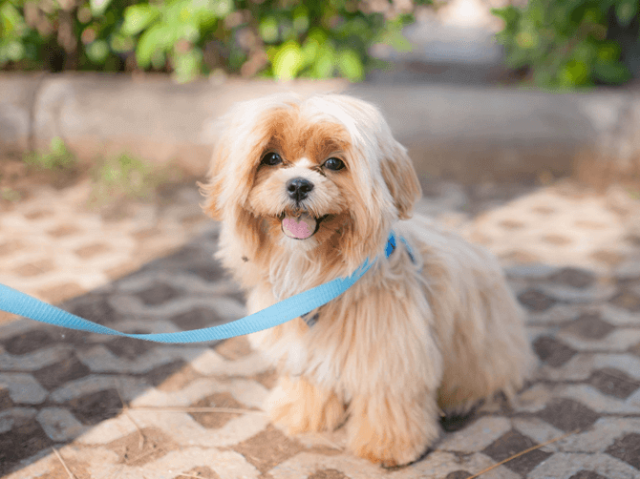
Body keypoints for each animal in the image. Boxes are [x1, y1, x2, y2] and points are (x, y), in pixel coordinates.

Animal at [201, 92, 536, 466]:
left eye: (334, 163)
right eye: (271, 158)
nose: (299, 184)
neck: (316, 273)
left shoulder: (392, 352)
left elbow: (388, 398)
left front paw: (388, 445)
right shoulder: (302, 345)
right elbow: (309, 377)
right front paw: (301, 413)